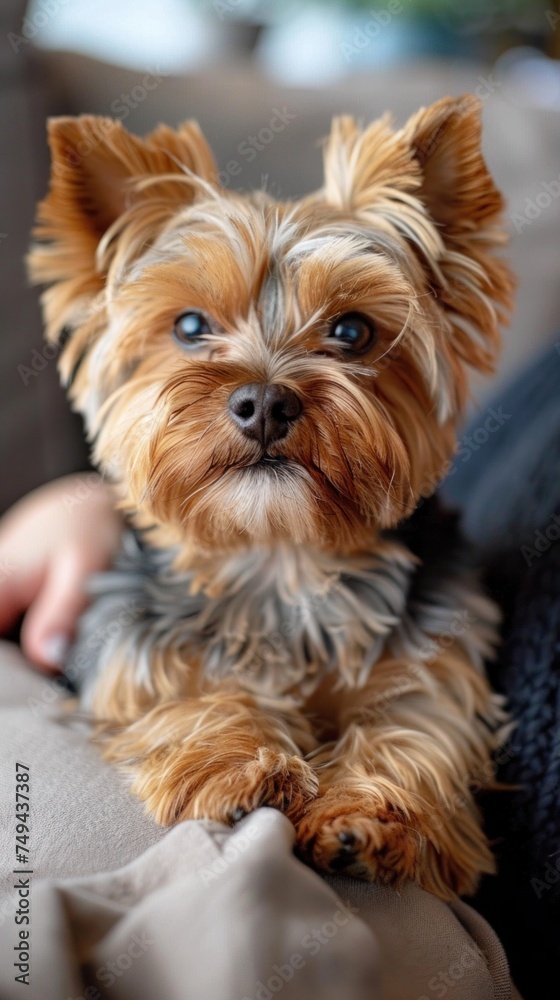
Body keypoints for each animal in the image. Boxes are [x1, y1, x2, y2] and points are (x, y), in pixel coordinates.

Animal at [28, 97, 516, 904]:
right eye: (190, 325)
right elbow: (184, 691)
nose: (263, 402)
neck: (281, 555)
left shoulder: (435, 649)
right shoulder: (130, 646)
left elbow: (420, 723)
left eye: (351, 330)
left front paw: (371, 817)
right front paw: (236, 761)